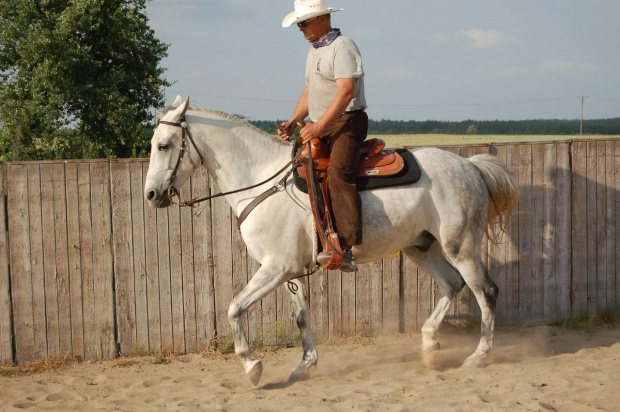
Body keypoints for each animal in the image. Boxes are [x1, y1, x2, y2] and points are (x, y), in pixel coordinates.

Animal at [144, 96, 520, 386]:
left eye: (164, 145)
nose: (151, 195)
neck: (261, 181)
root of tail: (469, 166)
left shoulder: (274, 268)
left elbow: (235, 308)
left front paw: (252, 367)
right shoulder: (289, 271)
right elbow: (301, 317)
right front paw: (303, 366)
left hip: (462, 248)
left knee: (486, 292)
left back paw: (479, 356)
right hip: (420, 247)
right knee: (452, 284)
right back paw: (429, 345)